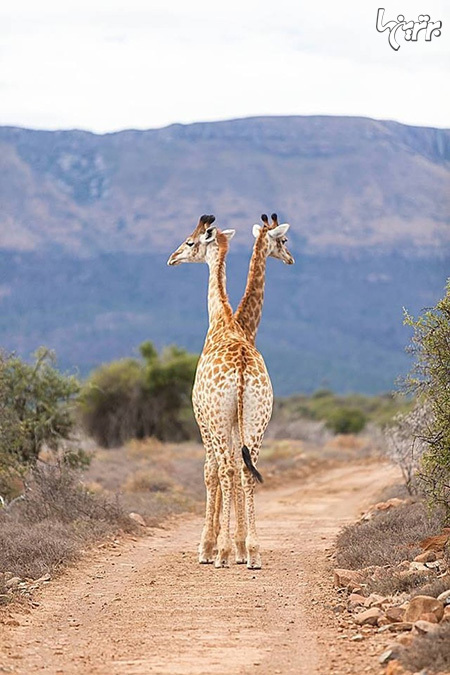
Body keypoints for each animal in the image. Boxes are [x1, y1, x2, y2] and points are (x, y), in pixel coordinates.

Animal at [167, 217, 272, 572]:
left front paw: (208, 548)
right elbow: (236, 470)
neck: (222, 322)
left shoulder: (202, 418)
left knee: (226, 468)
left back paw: (224, 553)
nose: (171, 258)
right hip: (257, 418)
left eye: (189, 242)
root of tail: (240, 369)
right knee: (248, 469)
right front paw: (236, 547)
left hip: (219, 419)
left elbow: (210, 472)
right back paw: (252, 552)